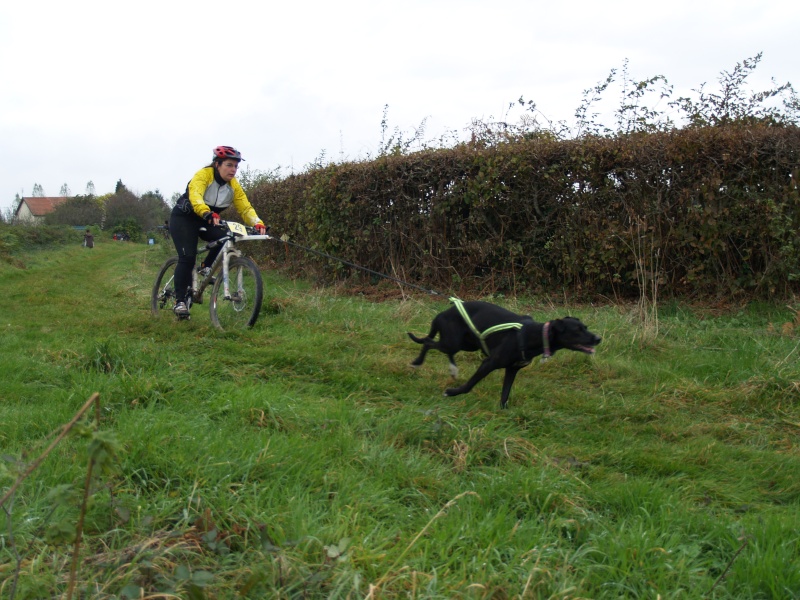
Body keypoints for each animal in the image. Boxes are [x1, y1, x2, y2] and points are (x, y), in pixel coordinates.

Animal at [406, 300, 600, 408]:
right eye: (577, 330)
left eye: (586, 327)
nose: (598, 338)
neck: (533, 335)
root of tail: (441, 314)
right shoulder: (489, 362)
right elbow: (469, 385)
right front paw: (453, 392)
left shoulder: (512, 369)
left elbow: (505, 393)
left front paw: (503, 411)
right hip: (452, 341)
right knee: (428, 342)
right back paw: (418, 362)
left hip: (466, 344)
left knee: (441, 349)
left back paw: (453, 369)